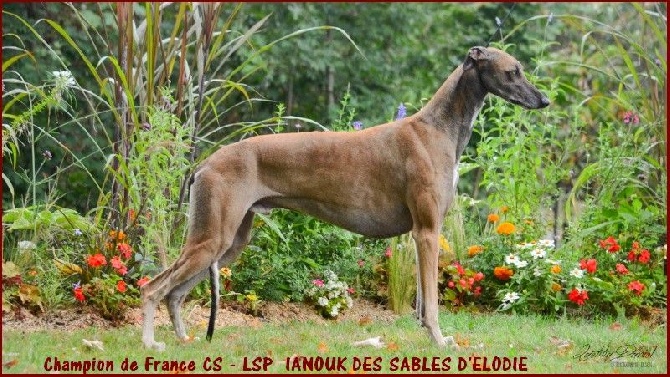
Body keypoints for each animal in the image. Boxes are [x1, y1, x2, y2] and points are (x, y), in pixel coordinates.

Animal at [140, 46, 552, 350]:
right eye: (512, 71)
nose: (545, 101)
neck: (437, 128)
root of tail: (205, 163)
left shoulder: (422, 233)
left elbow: (422, 303)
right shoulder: (427, 230)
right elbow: (432, 304)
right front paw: (440, 342)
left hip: (230, 241)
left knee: (175, 294)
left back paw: (182, 341)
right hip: (212, 238)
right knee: (153, 287)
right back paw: (150, 344)